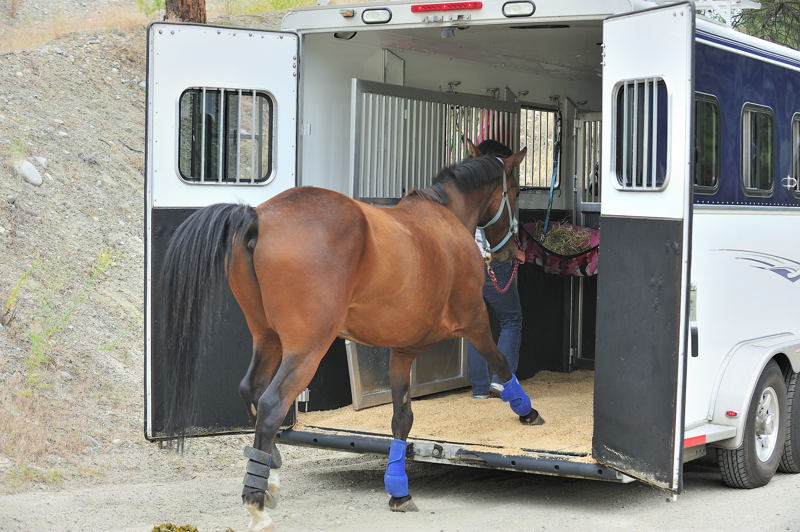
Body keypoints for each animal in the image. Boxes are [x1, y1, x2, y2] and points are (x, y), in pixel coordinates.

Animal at [158, 146, 543, 531]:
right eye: (515, 191)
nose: (509, 254)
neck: (444, 218)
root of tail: (260, 217)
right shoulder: (475, 322)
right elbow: (501, 365)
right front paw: (528, 412)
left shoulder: (403, 350)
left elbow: (402, 418)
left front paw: (398, 490)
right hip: (306, 350)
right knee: (271, 404)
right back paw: (256, 497)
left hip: (267, 339)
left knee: (249, 389)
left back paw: (270, 467)